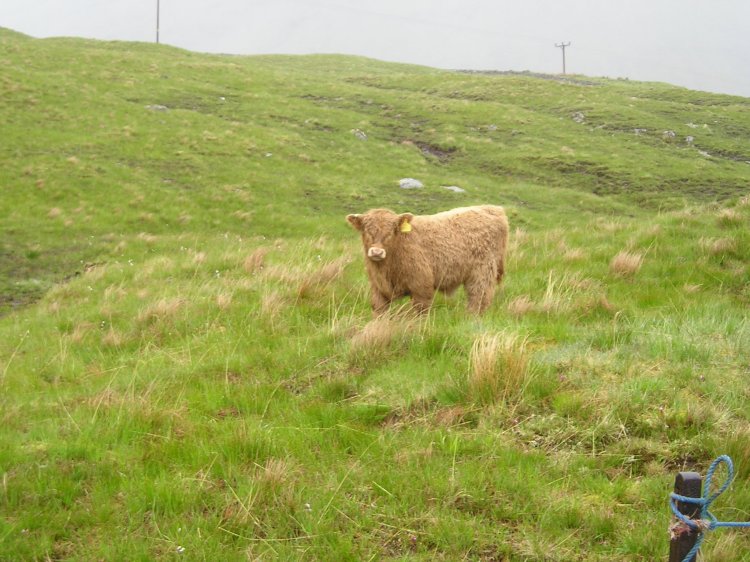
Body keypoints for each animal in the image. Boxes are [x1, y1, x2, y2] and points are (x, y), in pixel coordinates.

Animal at [346, 205, 509, 315]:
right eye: (366, 230)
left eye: (391, 231)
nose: (377, 252)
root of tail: (491, 208)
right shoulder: (378, 289)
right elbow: (380, 311)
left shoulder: (421, 287)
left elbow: (420, 313)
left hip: (482, 273)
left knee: (478, 299)